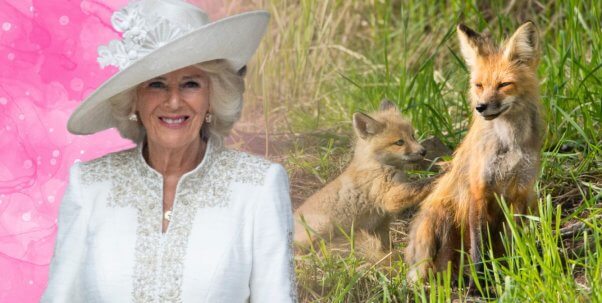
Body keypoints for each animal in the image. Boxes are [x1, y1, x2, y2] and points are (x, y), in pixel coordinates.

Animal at [290, 101, 432, 260]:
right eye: (399, 142)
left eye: (412, 136)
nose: (424, 151)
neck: (378, 164)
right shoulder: (389, 197)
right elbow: (421, 185)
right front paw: (440, 177)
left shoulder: (381, 223)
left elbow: (386, 246)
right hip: (323, 227)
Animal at [404, 21, 544, 284]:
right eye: (479, 85)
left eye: (504, 85)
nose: (480, 107)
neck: (509, 144)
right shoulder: (479, 190)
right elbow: (478, 248)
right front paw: (480, 281)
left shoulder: (520, 192)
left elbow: (513, 241)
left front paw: (514, 268)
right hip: (440, 216)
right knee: (435, 268)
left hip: (533, 200)